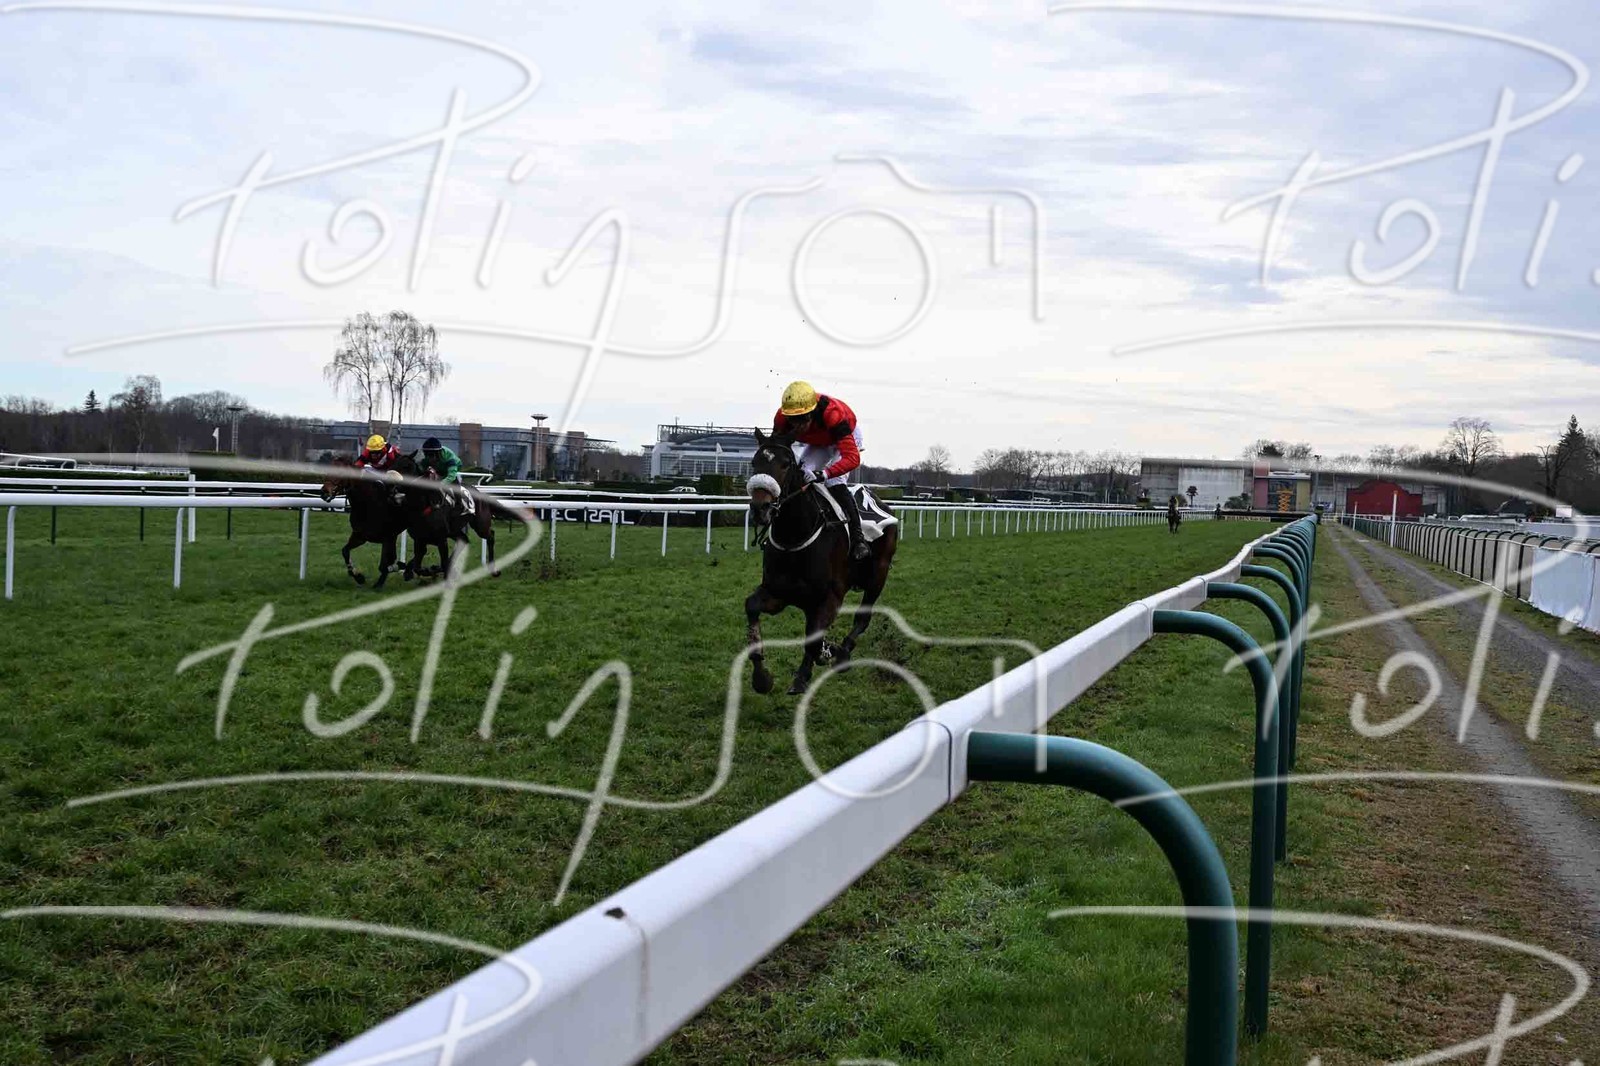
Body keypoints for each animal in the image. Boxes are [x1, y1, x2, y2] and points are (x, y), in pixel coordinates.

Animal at [319, 459, 408, 589]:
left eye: (341, 473)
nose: (324, 492)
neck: (367, 504)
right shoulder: (360, 536)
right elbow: (345, 551)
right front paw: (358, 576)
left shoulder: (388, 537)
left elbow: (384, 564)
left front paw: (380, 582)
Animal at [744, 430, 899, 696]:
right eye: (754, 462)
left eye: (785, 464)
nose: (760, 508)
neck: (795, 536)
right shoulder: (778, 592)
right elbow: (752, 606)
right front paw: (761, 678)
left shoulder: (831, 597)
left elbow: (815, 641)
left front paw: (817, 662)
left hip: (878, 575)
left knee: (862, 618)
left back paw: (842, 653)